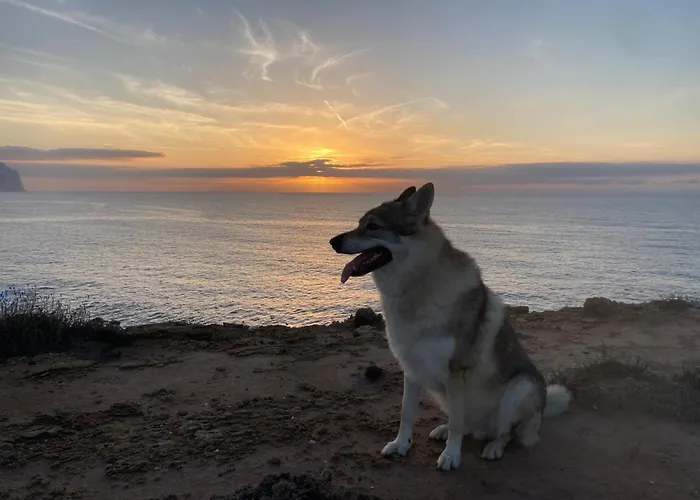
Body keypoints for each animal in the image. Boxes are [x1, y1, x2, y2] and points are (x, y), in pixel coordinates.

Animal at [329, 182, 571, 471]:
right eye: (359, 224)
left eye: (373, 226)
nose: (333, 241)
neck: (416, 285)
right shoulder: (411, 369)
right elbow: (407, 414)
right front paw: (401, 445)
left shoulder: (456, 372)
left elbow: (457, 423)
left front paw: (451, 456)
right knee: (469, 425)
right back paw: (444, 430)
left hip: (519, 390)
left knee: (507, 432)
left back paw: (493, 446)